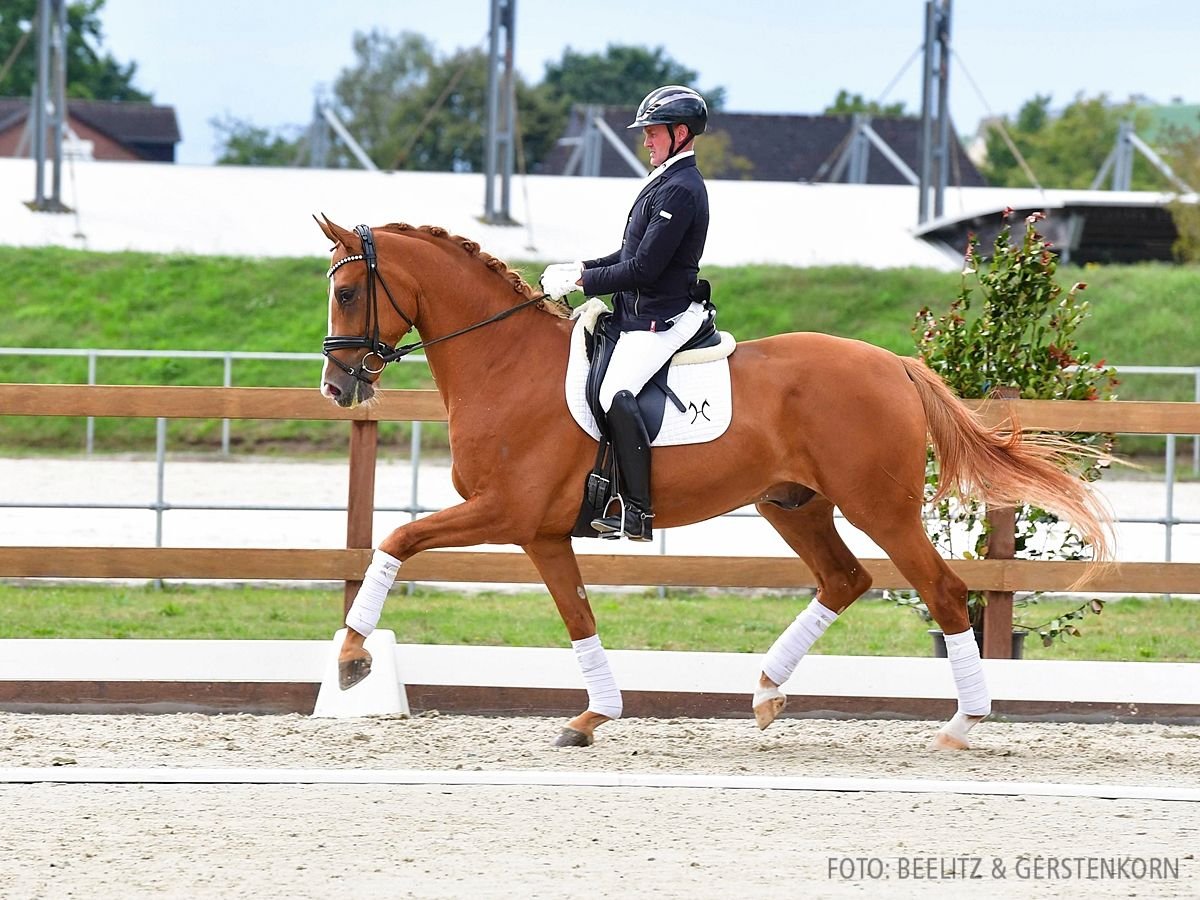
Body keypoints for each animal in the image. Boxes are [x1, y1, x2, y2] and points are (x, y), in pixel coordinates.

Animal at [314, 218, 1108, 753]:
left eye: (348, 292)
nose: (336, 387)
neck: (504, 362)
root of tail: (895, 365)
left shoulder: (503, 511)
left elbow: (398, 537)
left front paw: (352, 659)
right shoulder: (540, 532)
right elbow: (578, 617)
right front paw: (593, 716)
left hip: (880, 508)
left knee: (941, 592)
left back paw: (961, 724)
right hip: (791, 504)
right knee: (844, 579)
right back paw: (765, 694)